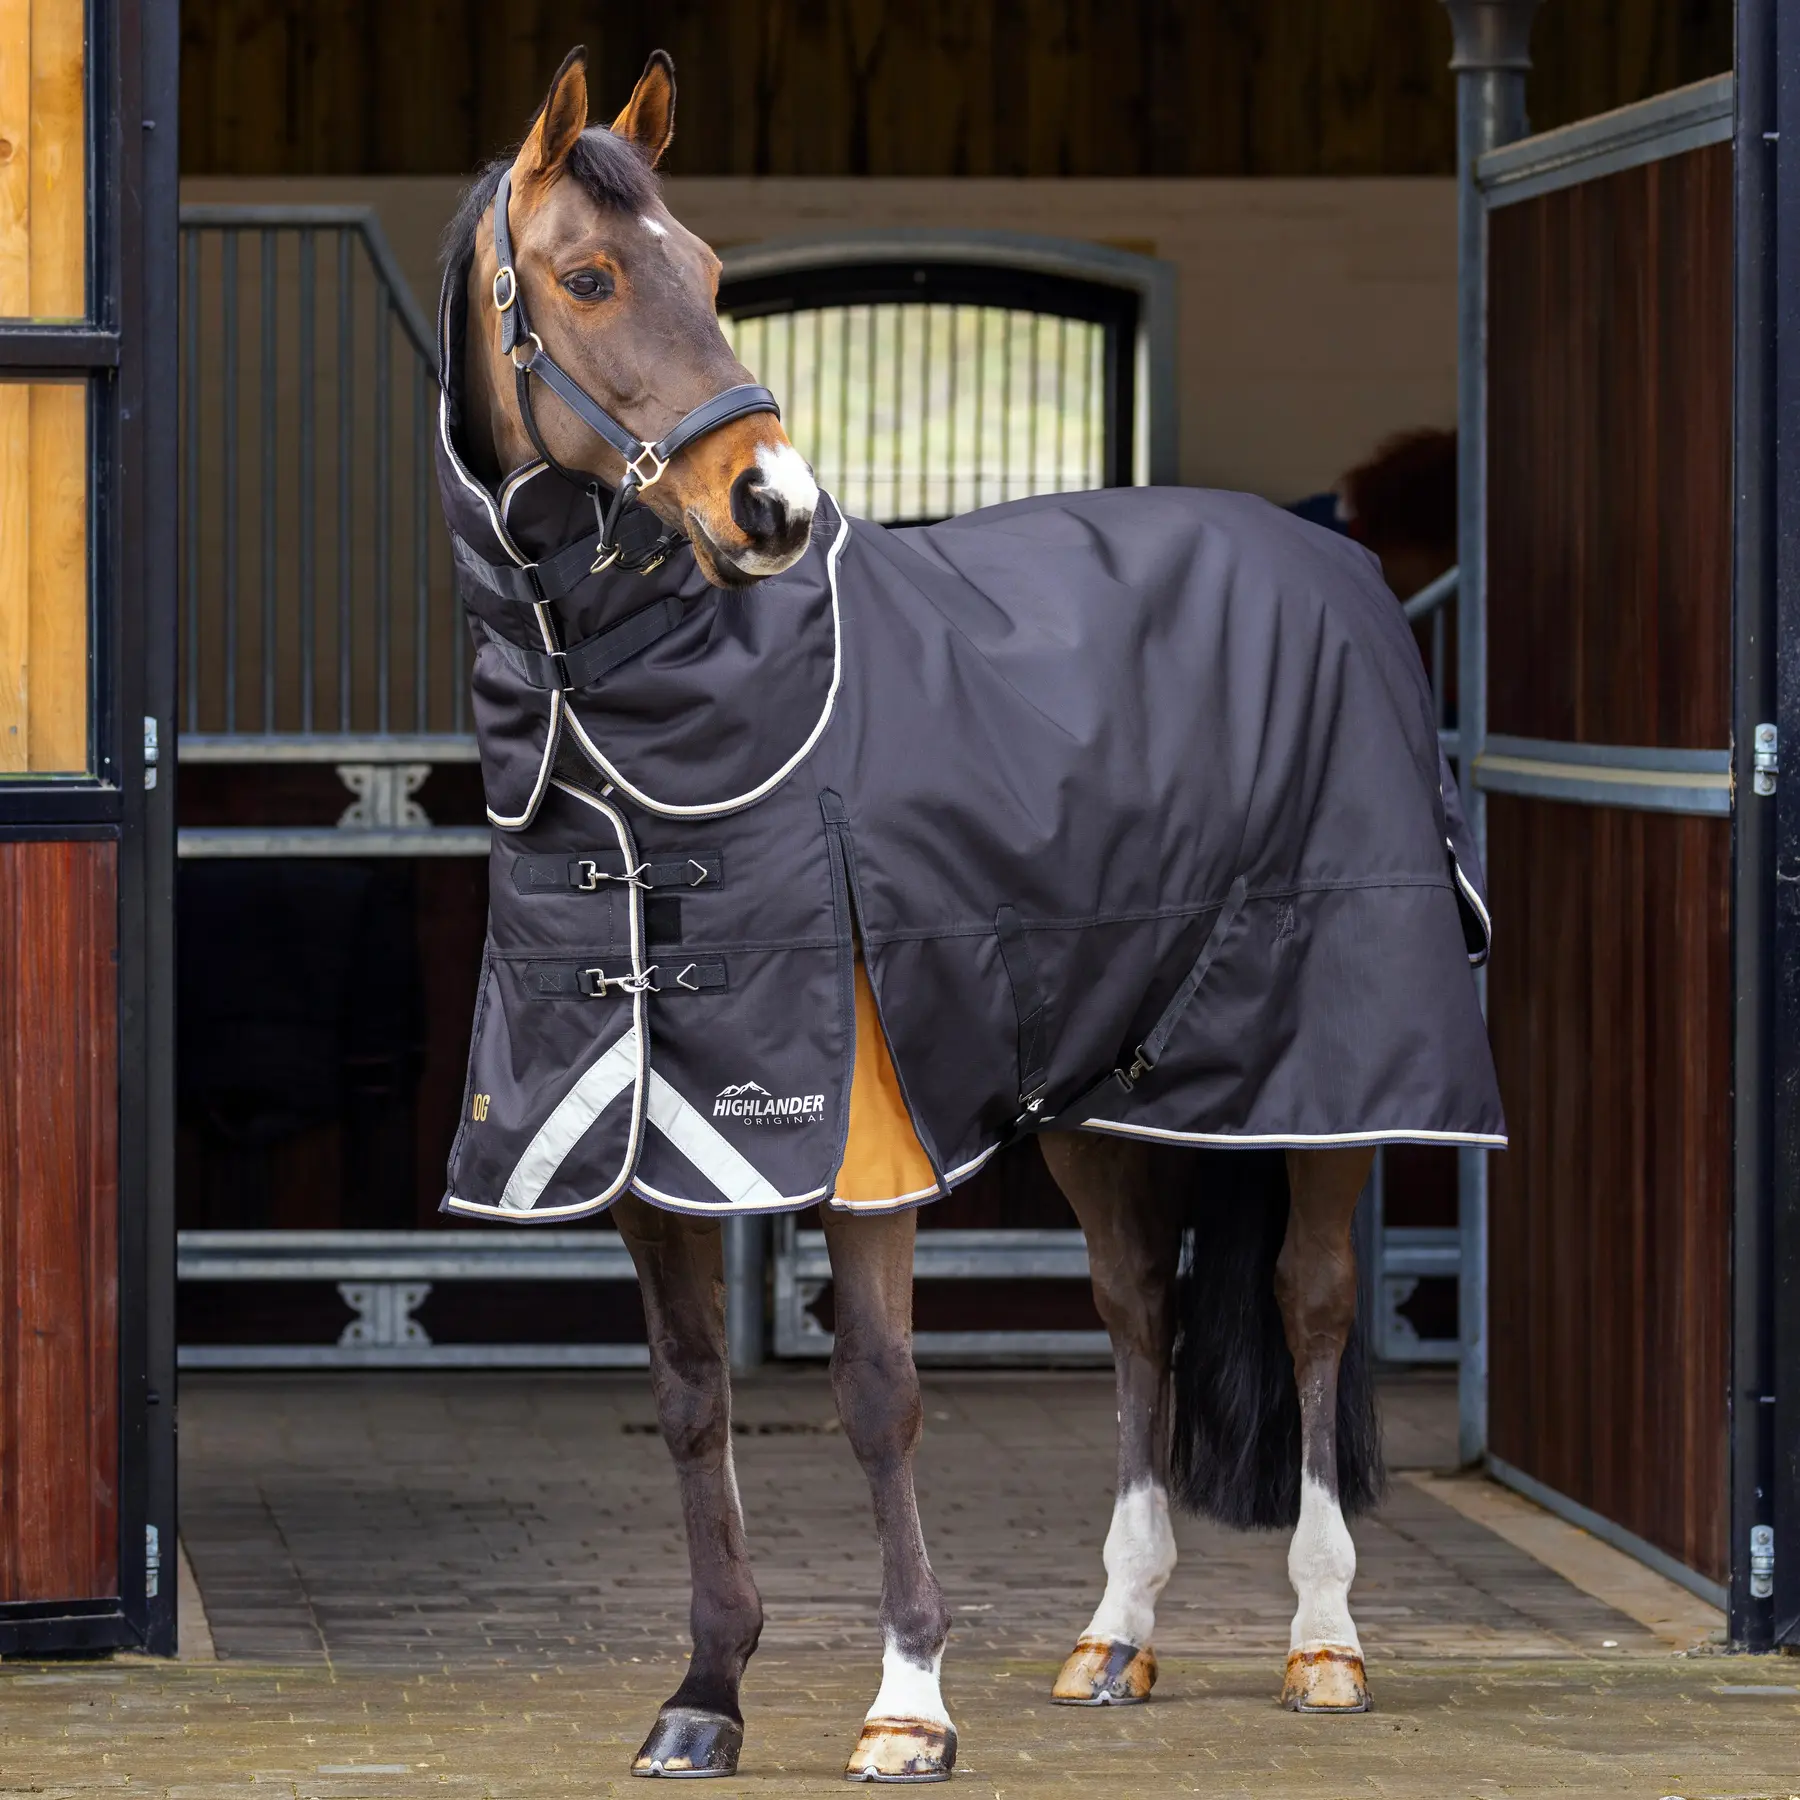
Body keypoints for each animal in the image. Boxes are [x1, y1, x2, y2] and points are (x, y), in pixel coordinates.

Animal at [436, 46, 1501, 1782]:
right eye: (588, 278)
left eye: (713, 274)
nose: (772, 507)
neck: (644, 732)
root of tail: (1327, 563)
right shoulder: (642, 1147)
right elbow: (691, 1400)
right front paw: (704, 1697)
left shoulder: (863, 1130)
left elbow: (879, 1396)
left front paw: (908, 1705)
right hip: (1109, 1095)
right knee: (1139, 1314)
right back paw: (1113, 1639)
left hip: (1324, 1077)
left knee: (1313, 1305)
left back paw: (1324, 1643)